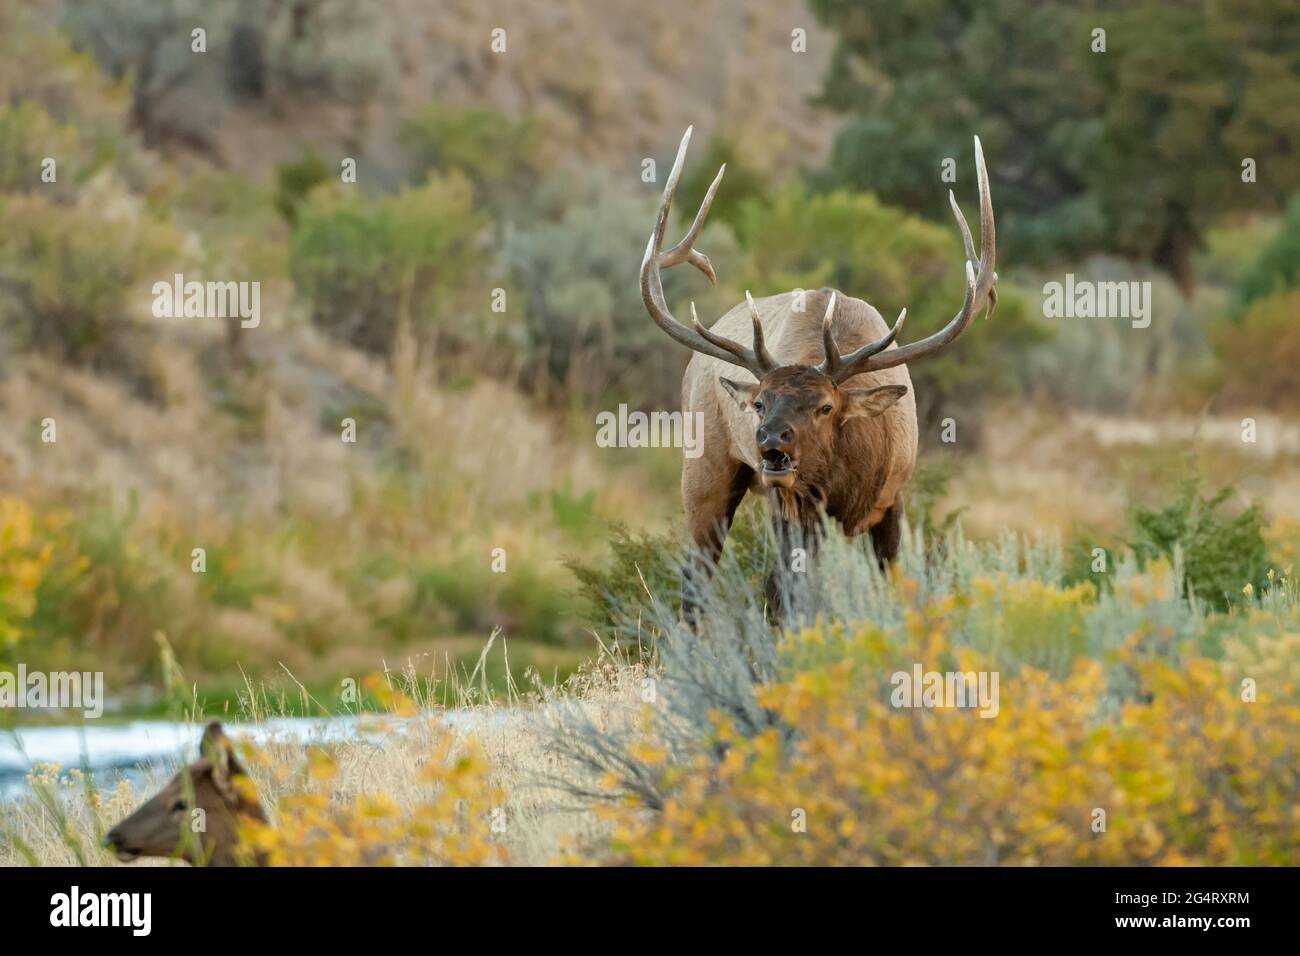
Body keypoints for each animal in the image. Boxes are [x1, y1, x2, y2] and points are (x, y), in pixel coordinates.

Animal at [644, 128, 998, 621]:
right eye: (760, 402)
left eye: (826, 406)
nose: (770, 440)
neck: (845, 480)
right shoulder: (793, 506)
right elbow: (792, 594)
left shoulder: (893, 497)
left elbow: (889, 581)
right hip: (705, 470)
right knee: (700, 580)